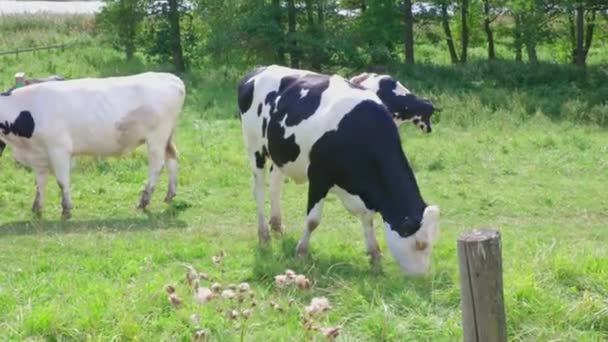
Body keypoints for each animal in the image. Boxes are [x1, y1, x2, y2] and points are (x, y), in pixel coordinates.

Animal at [0, 71, 185, 219]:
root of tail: (172, 78)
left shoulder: (58, 149)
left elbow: (62, 181)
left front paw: (66, 210)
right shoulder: (38, 154)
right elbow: (40, 182)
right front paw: (37, 208)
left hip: (157, 137)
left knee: (156, 166)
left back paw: (144, 201)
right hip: (167, 136)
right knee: (172, 157)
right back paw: (170, 194)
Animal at [235, 65, 440, 276]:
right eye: (421, 244)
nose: (422, 276)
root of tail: (258, 70)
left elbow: (368, 218)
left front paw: (375, 256)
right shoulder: (318, 178)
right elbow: (313, 221)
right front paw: (301, 253)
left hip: (280, 153)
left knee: (275, 185)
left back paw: (276, 226)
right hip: (255, 148)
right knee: (259, 190)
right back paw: (264, 236)